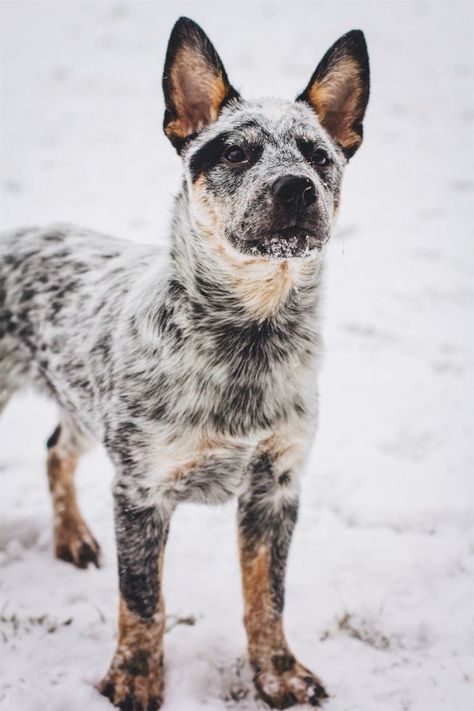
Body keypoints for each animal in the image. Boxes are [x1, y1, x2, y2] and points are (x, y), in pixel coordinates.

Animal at [0, 16, 370, 711]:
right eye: (235, 153)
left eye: (318, 156)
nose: (296, 188)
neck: (249, 338)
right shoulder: (141, 488)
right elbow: (143, 600)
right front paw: (134, 679)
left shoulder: (276, 484)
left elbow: (267, 596)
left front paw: (279, 674)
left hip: (84, 402)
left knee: (56, 450)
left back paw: (71, 537)